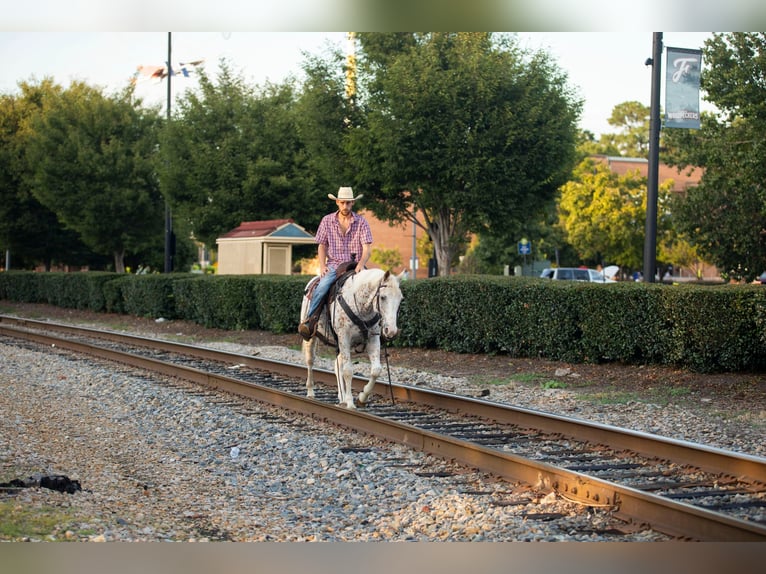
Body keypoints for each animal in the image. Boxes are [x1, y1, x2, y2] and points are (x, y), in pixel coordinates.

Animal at [302, 268, 408, 410]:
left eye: (401, 299)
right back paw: (310, 392)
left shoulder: (373, 339)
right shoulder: (344, 338)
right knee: (310, 361)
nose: (391, 331)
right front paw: (350, 403)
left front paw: (362, 398)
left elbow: (376, 370)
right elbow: (348, 371)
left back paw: (341, 397)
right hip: (312, 337)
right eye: (383, 297)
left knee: (337, 365)